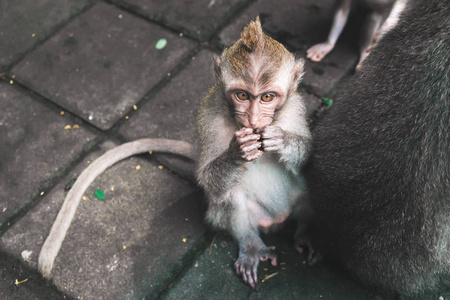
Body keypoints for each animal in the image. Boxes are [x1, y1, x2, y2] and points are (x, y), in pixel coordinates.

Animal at [37, 17, 312, 288]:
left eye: (266, 97)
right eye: (242, 95)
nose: (253, 119)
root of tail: (276, 221)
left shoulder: (296, 108)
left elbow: (308, 156)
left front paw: (281, 140)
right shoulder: (209, 117)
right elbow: (210, 182)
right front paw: (236, 153)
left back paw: (305, 233)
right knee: (232, 194)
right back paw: (252, 244)